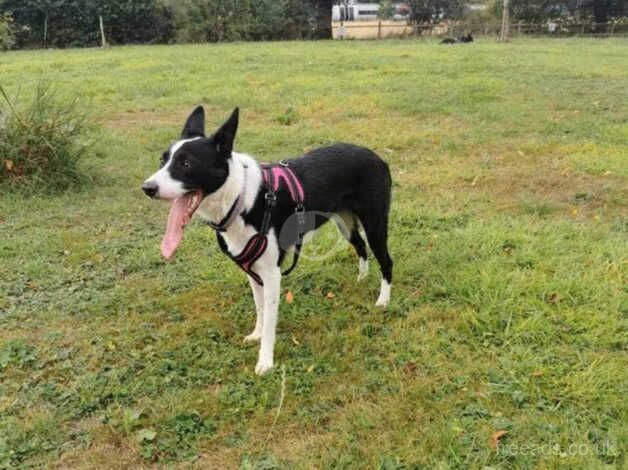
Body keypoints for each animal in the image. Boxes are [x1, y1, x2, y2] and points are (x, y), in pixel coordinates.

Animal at [142, 106, 392, 374]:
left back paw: (383, 300)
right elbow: (260, 309)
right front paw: (257, 334)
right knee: (361, 247)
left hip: (374, 224)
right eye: (162, 161)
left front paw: (265, 361)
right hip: (344, 222)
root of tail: (375, 156)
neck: (241, 198)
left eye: (186, 164)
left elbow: (271, 321)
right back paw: (361, 278)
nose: (147, 188)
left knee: (386, 261)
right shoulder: (252, 271)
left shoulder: (272, 274)